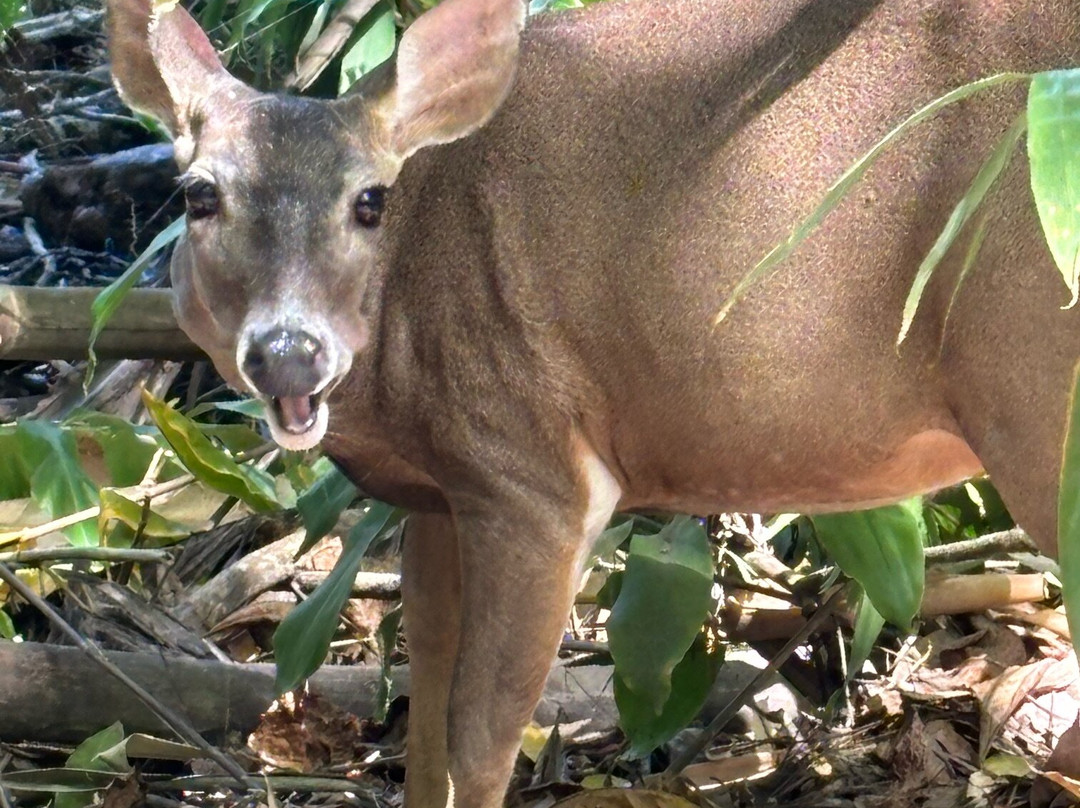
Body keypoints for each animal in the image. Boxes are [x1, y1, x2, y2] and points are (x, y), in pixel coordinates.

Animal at [107, 0, 1080, 803]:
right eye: (199, 195)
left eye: (369, 201)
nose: (288, 353)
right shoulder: (441, 494)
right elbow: (424, 700)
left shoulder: (533, 473)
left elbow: (482, 735)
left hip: (1034, 377)